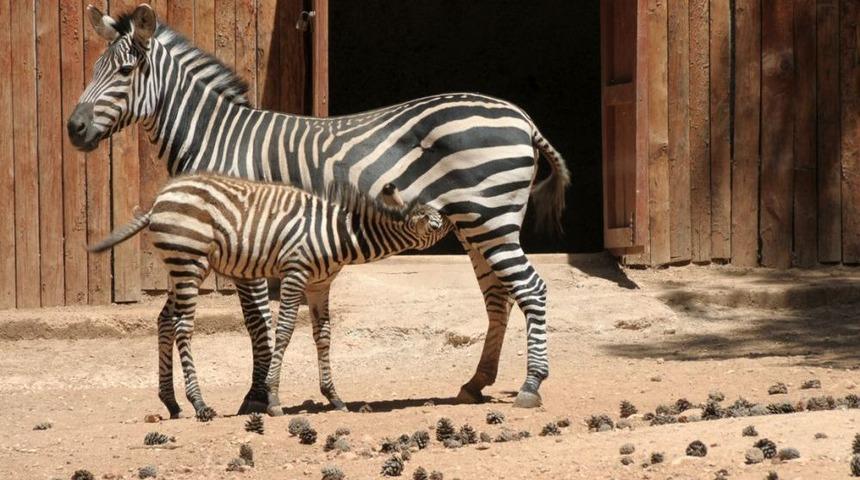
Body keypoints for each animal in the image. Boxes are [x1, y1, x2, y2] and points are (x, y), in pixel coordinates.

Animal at [89, 174, 449, 419]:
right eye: (441, 223)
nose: (456, 219)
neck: (338, 234)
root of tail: (158, 202)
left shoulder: (319, 286)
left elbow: (323, 336)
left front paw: (333, 396)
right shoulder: (295, 273)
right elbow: (286, 331)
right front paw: (274, 399)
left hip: (182, 266)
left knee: (165, 320)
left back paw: (172, 403)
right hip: (189, 263)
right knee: (182, 327)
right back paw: (199, 403)